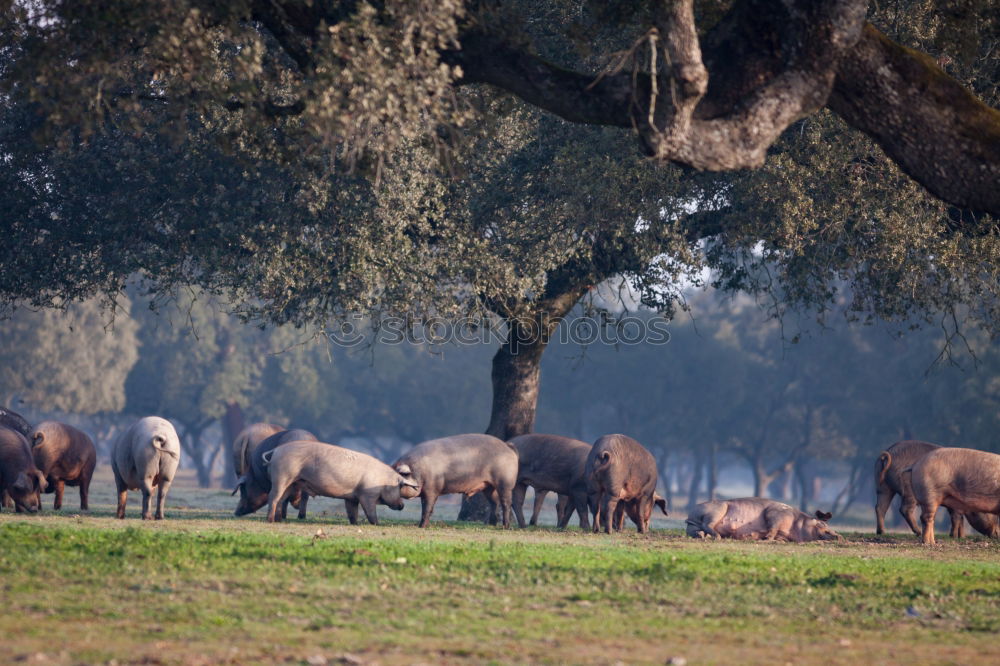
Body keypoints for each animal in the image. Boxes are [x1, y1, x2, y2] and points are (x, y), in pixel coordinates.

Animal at [262, 440, 418, 524]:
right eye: (399, 486)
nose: (402, 505)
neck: (382, 480)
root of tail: (276, 450)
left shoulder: (351, 497)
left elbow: (352, 512)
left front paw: (355, 524)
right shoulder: (367, 495)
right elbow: (370, 511)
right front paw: (377, 524)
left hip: (291, 482)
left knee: (282, 499)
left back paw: (278, 520)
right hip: (281, 476)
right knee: (273, 497)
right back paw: (270, 520)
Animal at [392, 434, 520, 528]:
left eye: (399, 482)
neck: (419, 471)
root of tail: (508, 446)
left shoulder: (432, 488)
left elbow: (427, 508)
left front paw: (421, 527)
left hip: (505, 482)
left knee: (506, 503)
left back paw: (505, 527)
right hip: (488, 486)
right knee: (494, 502)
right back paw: (491, 525)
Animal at [684, 496, 840, 544]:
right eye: (822, 523)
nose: (839, 535)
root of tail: (690, 513)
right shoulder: (775, 513)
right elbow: (773, 526)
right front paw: (766, 538)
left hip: (693, 525)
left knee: (697, 530)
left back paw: (702, 536)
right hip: (718, 509)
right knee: (708, 524)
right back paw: (717, 537)